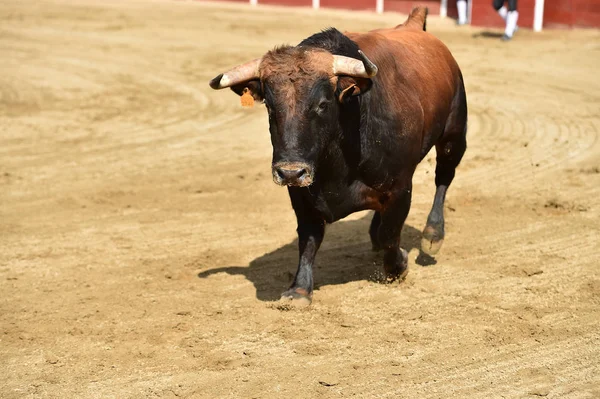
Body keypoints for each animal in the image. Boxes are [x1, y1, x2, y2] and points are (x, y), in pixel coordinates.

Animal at [211, 7, 468, 306]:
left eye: (323, 104)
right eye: (270, 107)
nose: (289, 172)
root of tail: (414, 24)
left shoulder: (401, 188)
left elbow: (391, 233)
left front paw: (399, 266)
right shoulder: (302, 194)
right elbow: (309, 237)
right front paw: (299, 290)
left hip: (454, 135)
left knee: (443, 177)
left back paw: (433, 234)